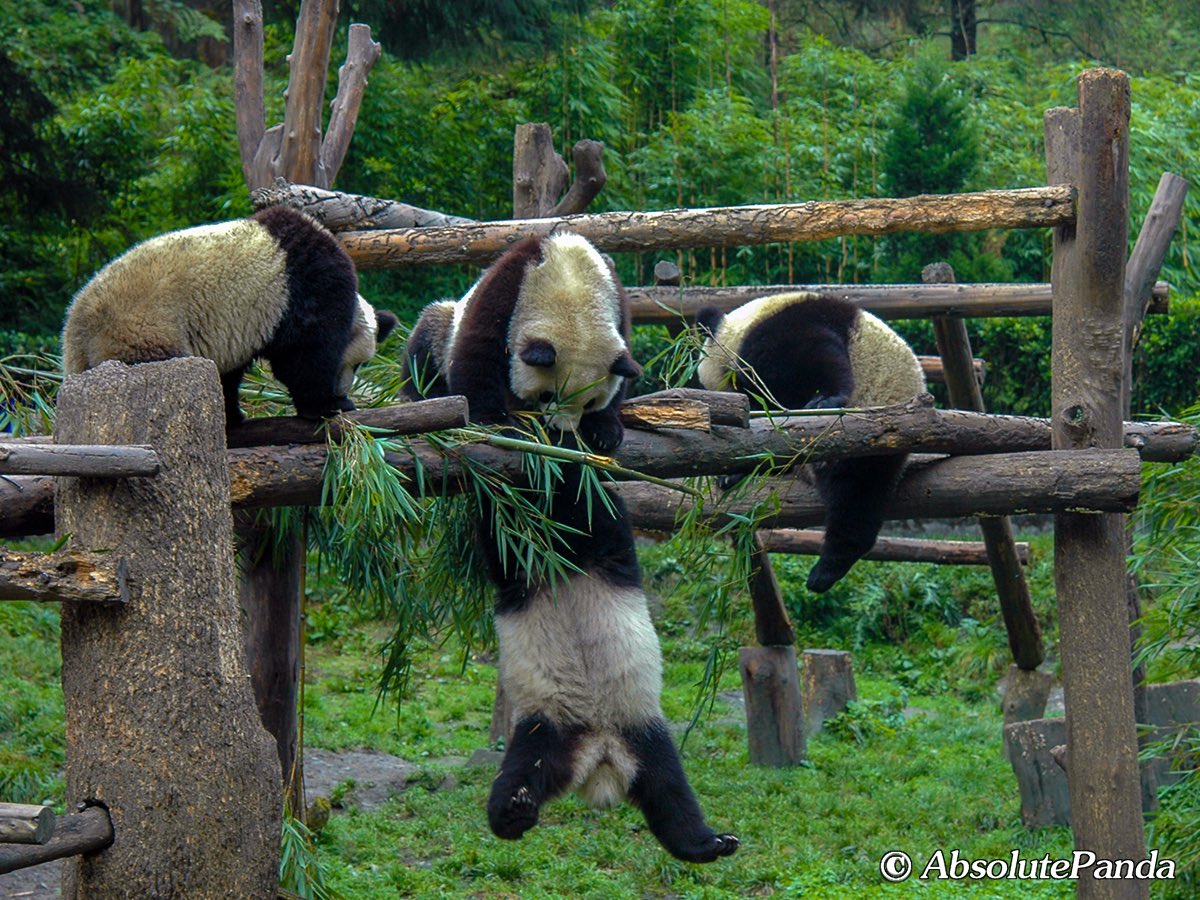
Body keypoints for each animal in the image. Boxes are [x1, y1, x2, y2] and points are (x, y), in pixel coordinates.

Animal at [61, 206, 398, 426]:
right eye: (361, 364)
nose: (344, 388)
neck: (352, 308)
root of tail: (76, 328)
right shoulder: (306, 292)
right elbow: (303, 360)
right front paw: (330, 404)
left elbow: (230, 372)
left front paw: (233, 416)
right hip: (140, 330)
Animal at [402, 232, 640, 452]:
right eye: (548, 394)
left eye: (590, 402)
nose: (562, 428)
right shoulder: (508, 288)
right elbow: (479, 353)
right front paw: (500, 424)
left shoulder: (617, 306)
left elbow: (621, 376)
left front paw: (605, 431)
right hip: (444, 329)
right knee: (426, 345)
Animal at [696, 291, 926, 593]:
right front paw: (734, 470)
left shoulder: (793, 325)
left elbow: (819, 359)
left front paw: (824, 400)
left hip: (869, 436)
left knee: (854, 495)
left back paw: (825, 571)